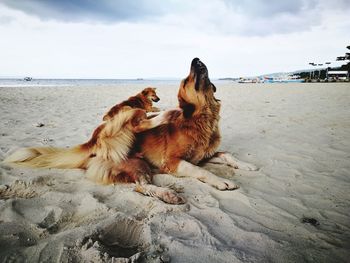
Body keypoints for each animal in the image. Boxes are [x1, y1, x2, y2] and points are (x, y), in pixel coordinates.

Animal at [131, 58, 258, 194]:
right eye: (186, 81)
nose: (196, 59)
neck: (202, 120)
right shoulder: (172, 161)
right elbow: (200, 170)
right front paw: (220, 181)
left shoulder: (203, 156)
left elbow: (226, 154)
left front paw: (245, 165)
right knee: (140, 185)